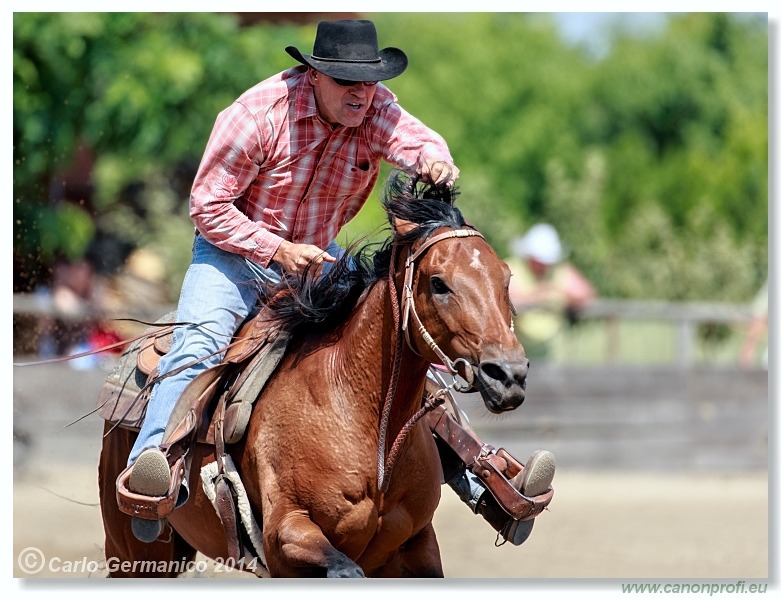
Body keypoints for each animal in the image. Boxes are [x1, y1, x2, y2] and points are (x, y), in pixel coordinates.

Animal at [97, 173, 528, 576]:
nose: (508, 375)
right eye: (438, 283)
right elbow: (342, 567)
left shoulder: (417, 545)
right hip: (133, 551)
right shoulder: (286, 534)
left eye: (507, 279)